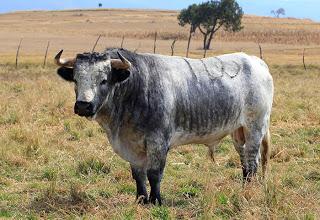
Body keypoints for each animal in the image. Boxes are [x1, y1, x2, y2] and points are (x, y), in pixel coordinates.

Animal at [54, 48, 272, 205]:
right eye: (75, 79)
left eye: (104, 80)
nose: (83, 105)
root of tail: (255, 61)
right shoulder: (133, 145)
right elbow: (138, 174)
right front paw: (141, 200)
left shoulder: (158, 142)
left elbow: (154, 174)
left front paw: (156, 200)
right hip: (238, 131)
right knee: (245, 159)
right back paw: (245, 185)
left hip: (255, 126)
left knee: (253, 160)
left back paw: (248, 190)